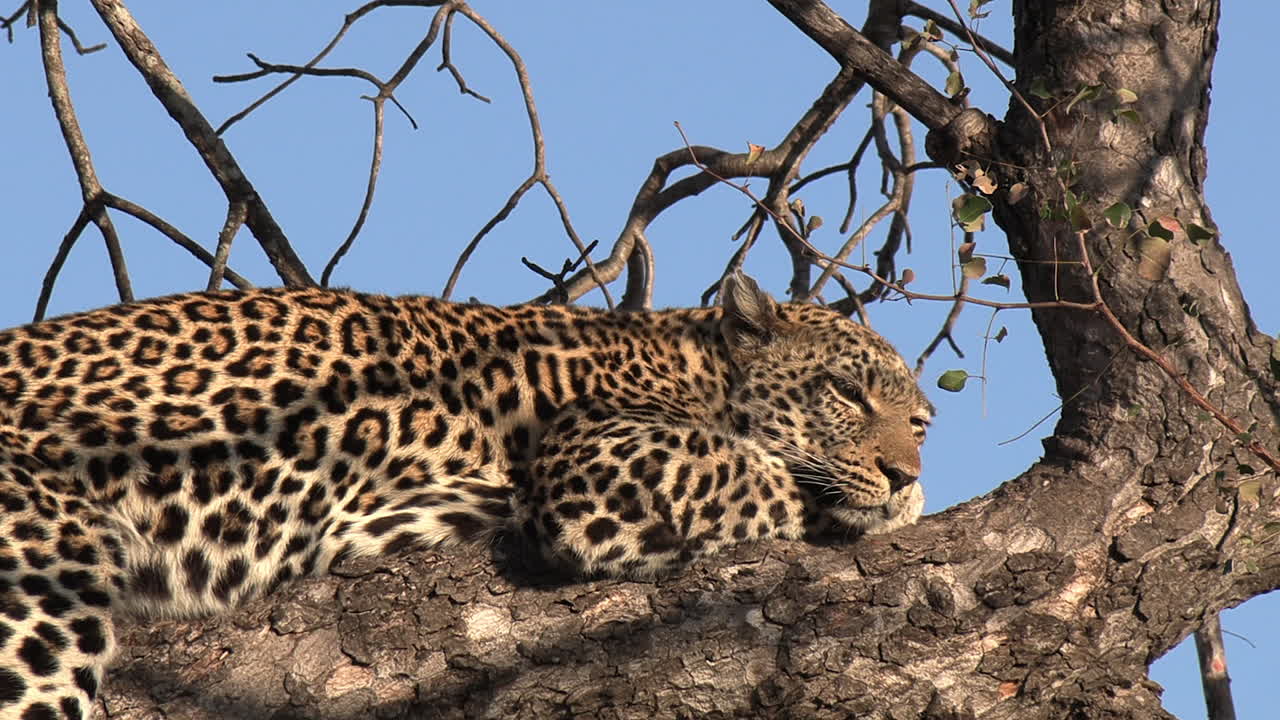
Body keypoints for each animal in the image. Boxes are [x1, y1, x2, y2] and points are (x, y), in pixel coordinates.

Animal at [0, 272, 932, 720]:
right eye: (847, 393)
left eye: (920, 420)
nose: (905, 469)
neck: (691, 363)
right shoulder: (598, 458)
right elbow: (754, 470)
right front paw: (871, 502)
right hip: (40, 577)